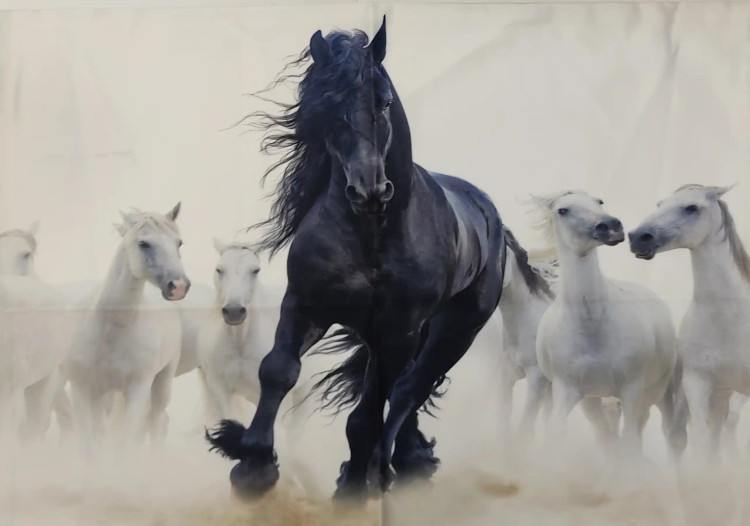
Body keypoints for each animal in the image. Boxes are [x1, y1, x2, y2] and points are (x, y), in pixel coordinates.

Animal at [66, 203, 190, 448]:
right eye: (143, 243)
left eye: (178, 243)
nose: (178, 286)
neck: (111, 331)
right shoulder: (82, 388)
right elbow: (90, 444)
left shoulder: (137, 389)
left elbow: (124, 443)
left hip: (162, 385)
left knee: (156, 423)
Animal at [206, 18, 506, 499]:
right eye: (327, 109)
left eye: (382, 101)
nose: (369, 191)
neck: (372, 237)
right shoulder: (305, 305)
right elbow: (277, 371)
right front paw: (252, 466)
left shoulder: (396, 328)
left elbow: (367, 413)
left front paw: (351, 488)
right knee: (405, 390)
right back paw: (406, 459)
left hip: (454, 331)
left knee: (409, 389)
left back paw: (387, 468)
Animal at [532, 190, 687, 458]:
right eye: (563, 210)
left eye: (598, 201)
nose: (611, 226)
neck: (592, 325)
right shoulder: (569, 391)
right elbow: (562, 434)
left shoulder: (632, 391)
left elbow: (628, 442)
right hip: (595, 400)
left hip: (656, 393)